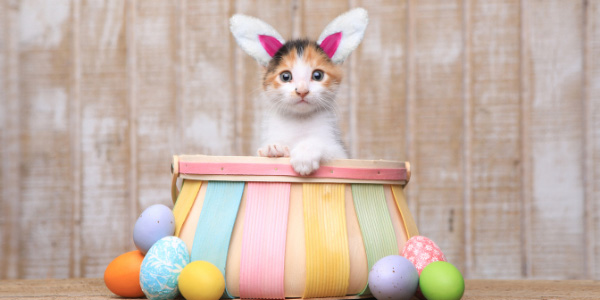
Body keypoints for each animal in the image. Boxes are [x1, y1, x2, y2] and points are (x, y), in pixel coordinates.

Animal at [231, 7, 368, 176]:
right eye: (285, 76)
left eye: (317, 75)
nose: (302, 91)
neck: (299, 120)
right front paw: (273, 148)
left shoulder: (341, 153)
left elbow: (324, 145)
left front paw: (305, 154)